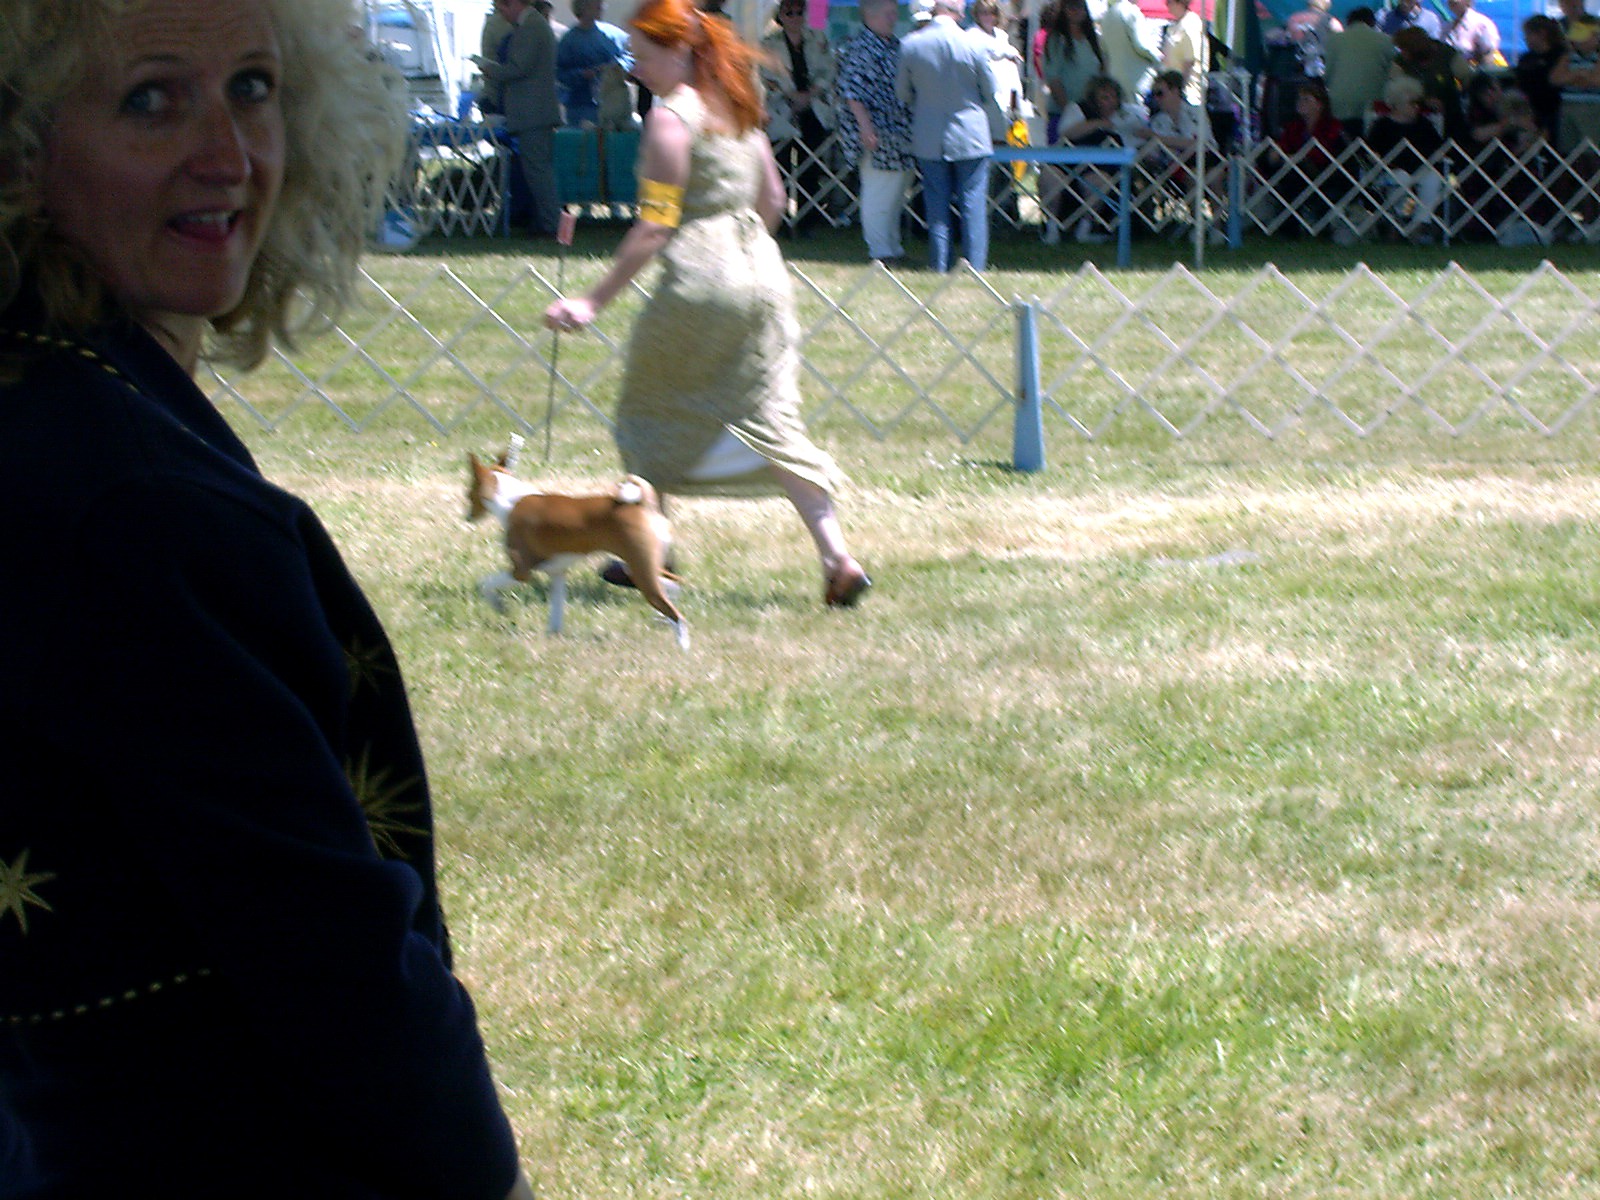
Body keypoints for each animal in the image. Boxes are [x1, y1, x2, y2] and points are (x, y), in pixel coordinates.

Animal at [467, 440, 688, 650]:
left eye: (469, 494)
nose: (467, 516)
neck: (512, 502)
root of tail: (643, 506)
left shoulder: (521, 571)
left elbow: (486, 584)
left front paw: (499, 606)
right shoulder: (557, 573)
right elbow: (556, 613)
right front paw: (553, 636)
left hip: (641, 572)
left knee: (677, 613)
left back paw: (682, 646)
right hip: (638, 568)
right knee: (674, 583)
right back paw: (664, 616)